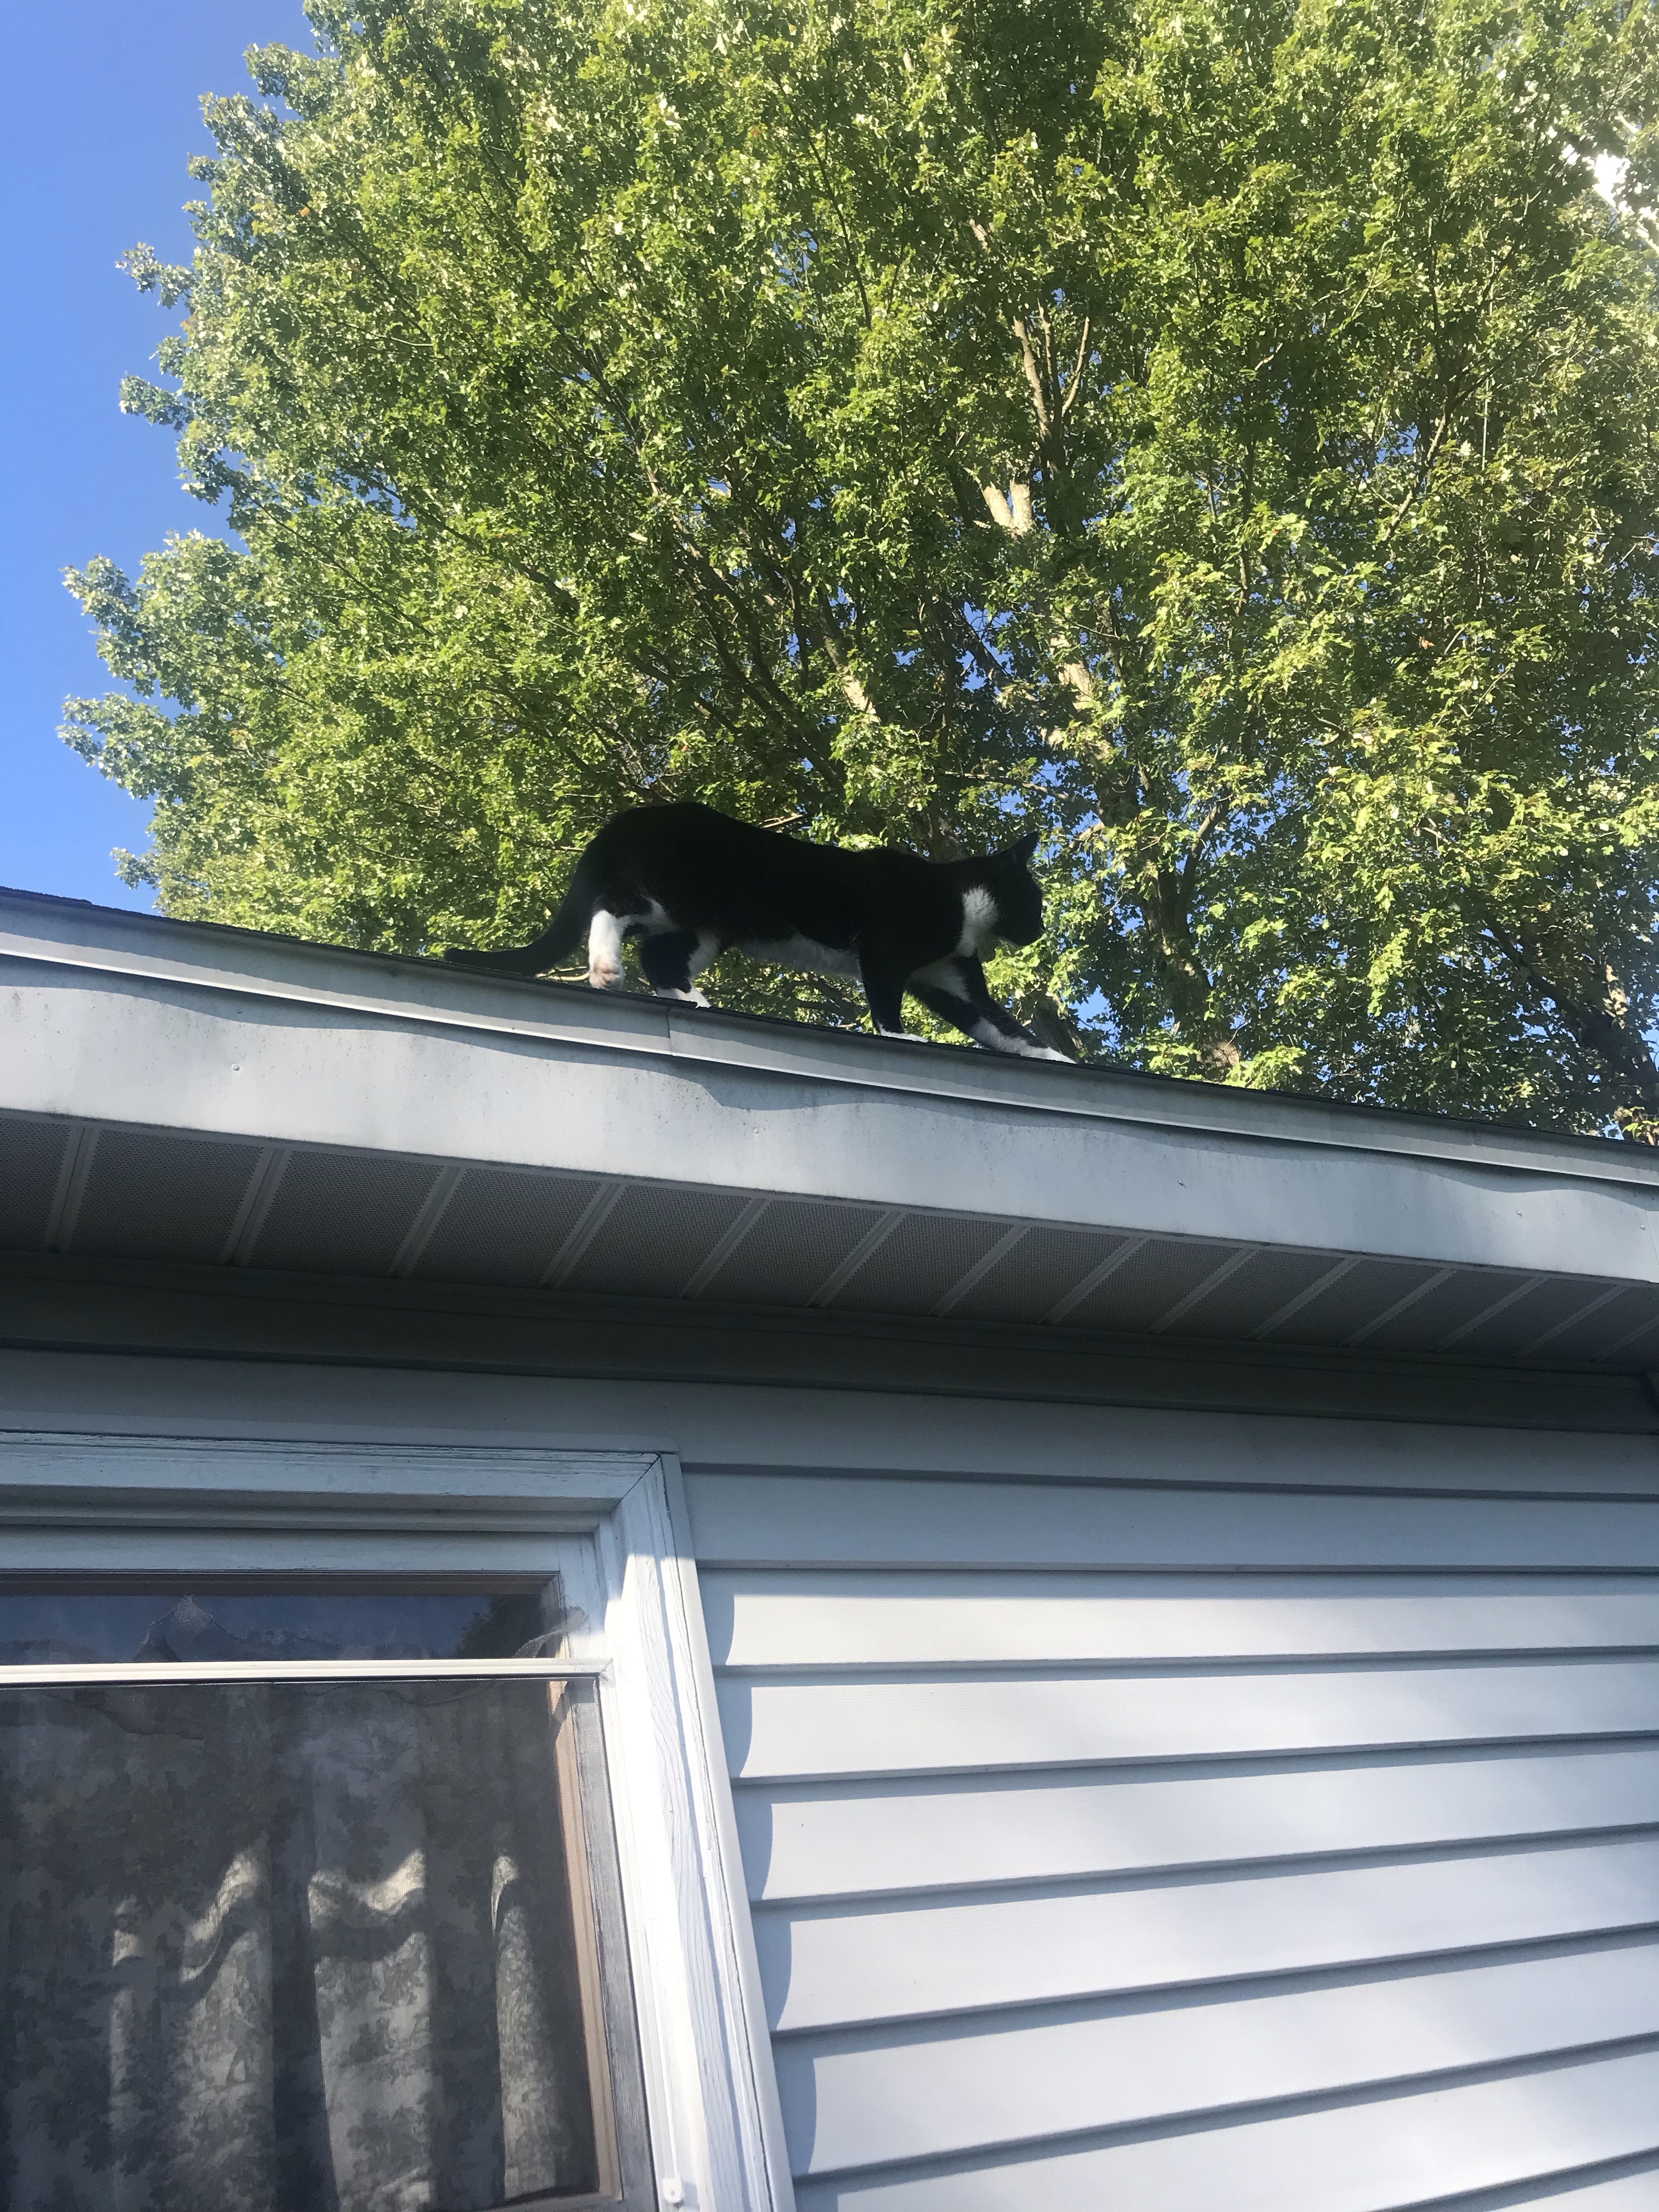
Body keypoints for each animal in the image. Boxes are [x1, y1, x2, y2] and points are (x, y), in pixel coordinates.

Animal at [444, 801, 1070, 1060]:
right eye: (1035, 901)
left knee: (660, 958)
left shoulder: (950, 976)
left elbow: (1002, 1028)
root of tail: (629, 818)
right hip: (676, 893)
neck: (960, 906)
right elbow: (886, 1003)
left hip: (704, 928)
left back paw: (693, 1001)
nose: (1041, 929)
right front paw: (901, 1038)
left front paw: (1055, 1060)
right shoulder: (885, 949)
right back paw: (604, 970)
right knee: (614, 910)